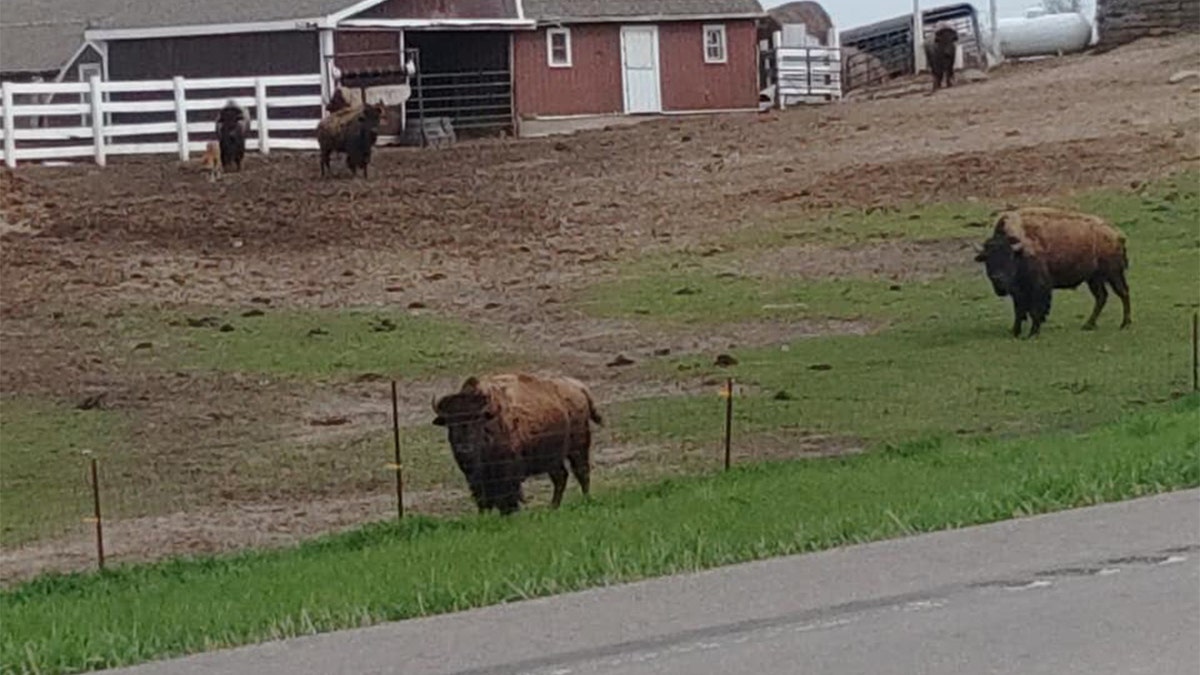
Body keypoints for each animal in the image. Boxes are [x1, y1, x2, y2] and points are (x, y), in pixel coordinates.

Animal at [429, 369, 600, 511]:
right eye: (450, 423)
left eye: (477, 421)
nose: (465, 449)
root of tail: (579, 388)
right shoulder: (476, 478)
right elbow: (483, 498)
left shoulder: (507, 470)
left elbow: (508, 495)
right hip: (552, 458)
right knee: (561, 477)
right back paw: (552, 507)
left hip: (578, 448)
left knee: (582, 473)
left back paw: (585, 500)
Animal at [969, 205, 1128, 338]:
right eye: (987, 259)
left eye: (1009, 257)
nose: (998, 278)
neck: (1020, 252)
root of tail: (1116, 234)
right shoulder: (1018, 292)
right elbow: (1019, 310)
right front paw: (1015, 332)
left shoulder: (1039, 287)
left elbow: (1035, 310)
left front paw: (1033, 333)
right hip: (1094, 279)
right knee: (1101, 297)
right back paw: (1088, 325)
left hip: (1113, 274)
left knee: (1123, 293)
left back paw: (1124, 324)